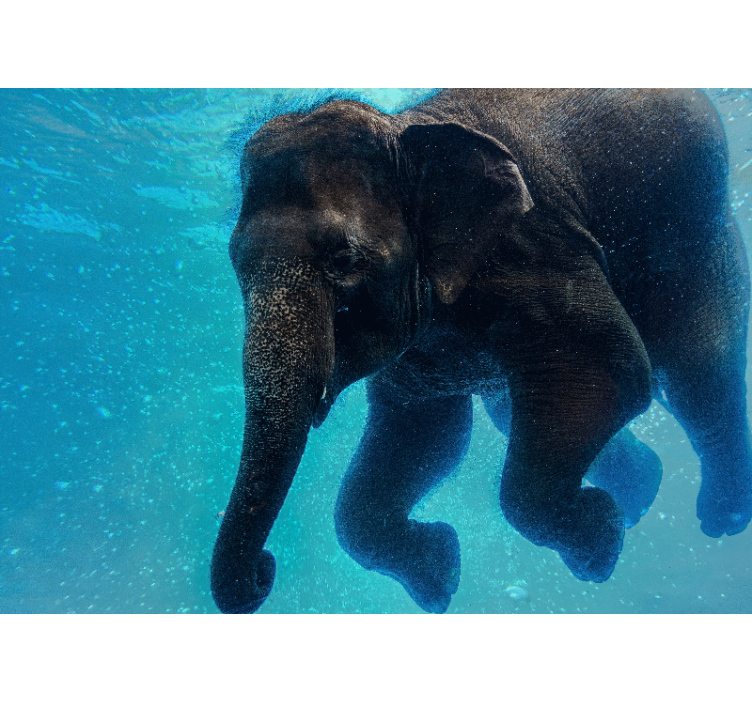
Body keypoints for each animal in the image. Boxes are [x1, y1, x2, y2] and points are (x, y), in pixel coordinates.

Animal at [211, 89, 752, 614]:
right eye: (235, 265)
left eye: (343, 259)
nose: (264, 569)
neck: (406, 131)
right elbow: (425, 438)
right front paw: (441, 578)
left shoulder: (537, 251)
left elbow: (607, 373)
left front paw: (600, 545)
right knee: (514, 408)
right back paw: (644, 492)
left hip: (697, 236)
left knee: (696, 368)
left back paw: (721, 516)